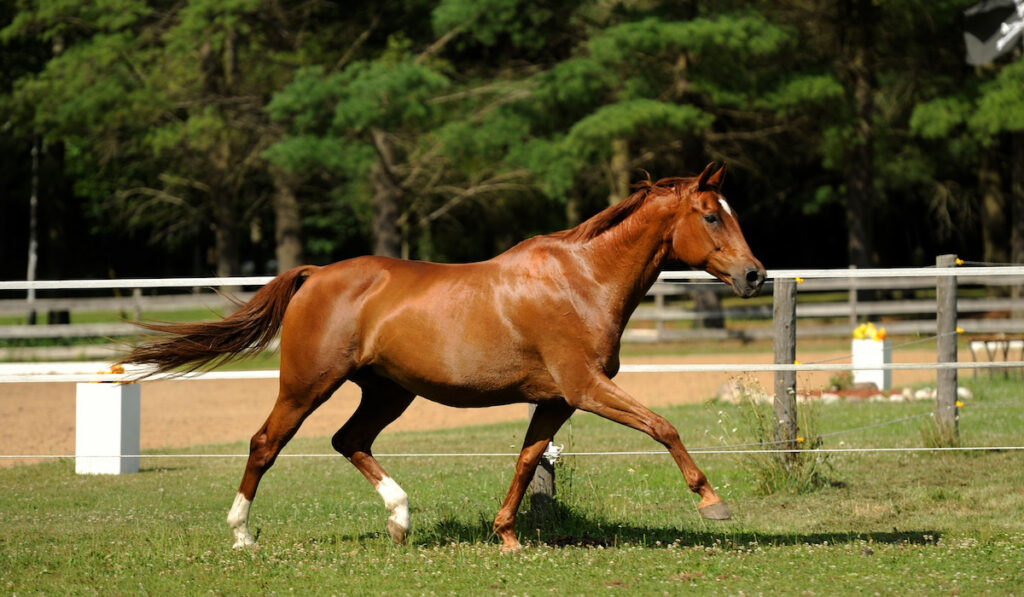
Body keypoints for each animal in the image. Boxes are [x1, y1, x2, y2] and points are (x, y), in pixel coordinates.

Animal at [117, 160, 761, 552]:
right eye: (711, 215)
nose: (754, 275)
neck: (582, 281)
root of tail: (316, 274)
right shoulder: (586, 388)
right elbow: (663, 426)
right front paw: (713, 503)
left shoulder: (557, 399)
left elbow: (526, 461)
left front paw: (506, 536)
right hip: (307, 385)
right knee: (265, 444)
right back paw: (242, 535)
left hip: (387, 391)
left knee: (349, 440)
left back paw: (400, 519)